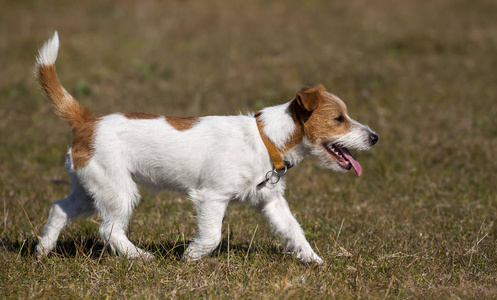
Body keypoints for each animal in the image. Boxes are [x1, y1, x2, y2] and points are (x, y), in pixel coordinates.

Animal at [34, 31, 376, 264]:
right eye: (339, 119)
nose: (374, 137)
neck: (267, 139)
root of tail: (87, 121)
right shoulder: (213, 196)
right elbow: (212, 236)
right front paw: (192, 256)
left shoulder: (271, 201)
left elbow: (293, 230)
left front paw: (313, 260)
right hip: (118, 191)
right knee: (109, 231)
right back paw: (141, 257)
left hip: (92, 188)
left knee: (60, 208)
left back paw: (42, 250)